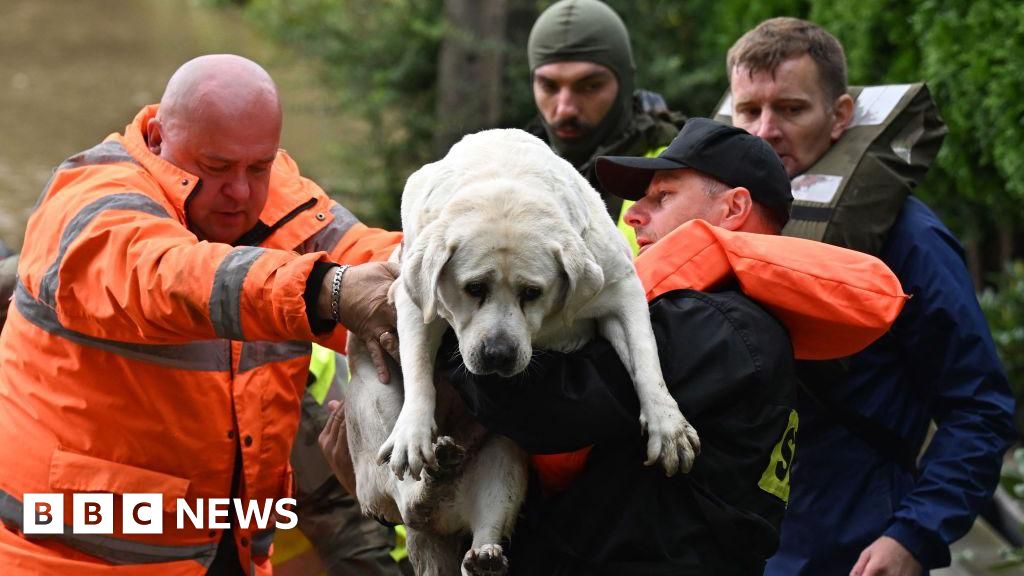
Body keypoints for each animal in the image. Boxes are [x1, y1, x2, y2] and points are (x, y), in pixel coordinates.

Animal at [348, 130, 700, 573]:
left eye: (532, 292)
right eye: (474, 288)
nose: (498, 354)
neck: (505, 183)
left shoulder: (620, 289)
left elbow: (646, 357)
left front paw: (669, 426)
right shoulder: (411, 298)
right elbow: (416, 369)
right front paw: (413, 431)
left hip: (506, 459)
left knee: (476, 520)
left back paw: (480, 551)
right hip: (370, 406)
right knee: (407, 498)